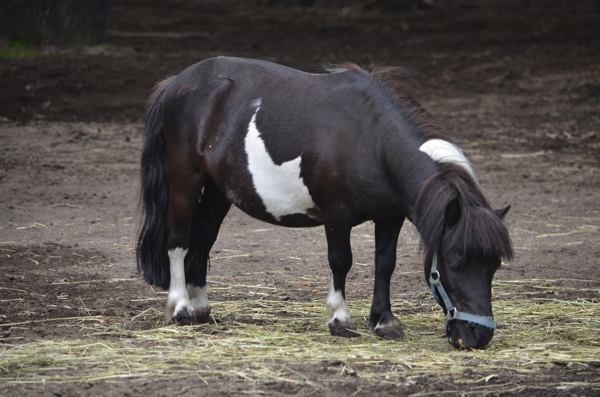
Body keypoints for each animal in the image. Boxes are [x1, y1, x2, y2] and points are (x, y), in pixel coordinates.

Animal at [136, 57, 510, 348]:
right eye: (456, 262)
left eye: (493, 266)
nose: (479, 337)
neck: (369, 141)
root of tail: (175, 83)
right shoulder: (336, 215)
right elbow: (341, 261)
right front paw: (340, 319)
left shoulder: (391, 216)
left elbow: (384, 264)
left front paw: (384, 322)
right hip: (185, 180)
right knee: (179, 240)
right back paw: (181, 308)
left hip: (217, 190)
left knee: (204, 236)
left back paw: (201, 306)